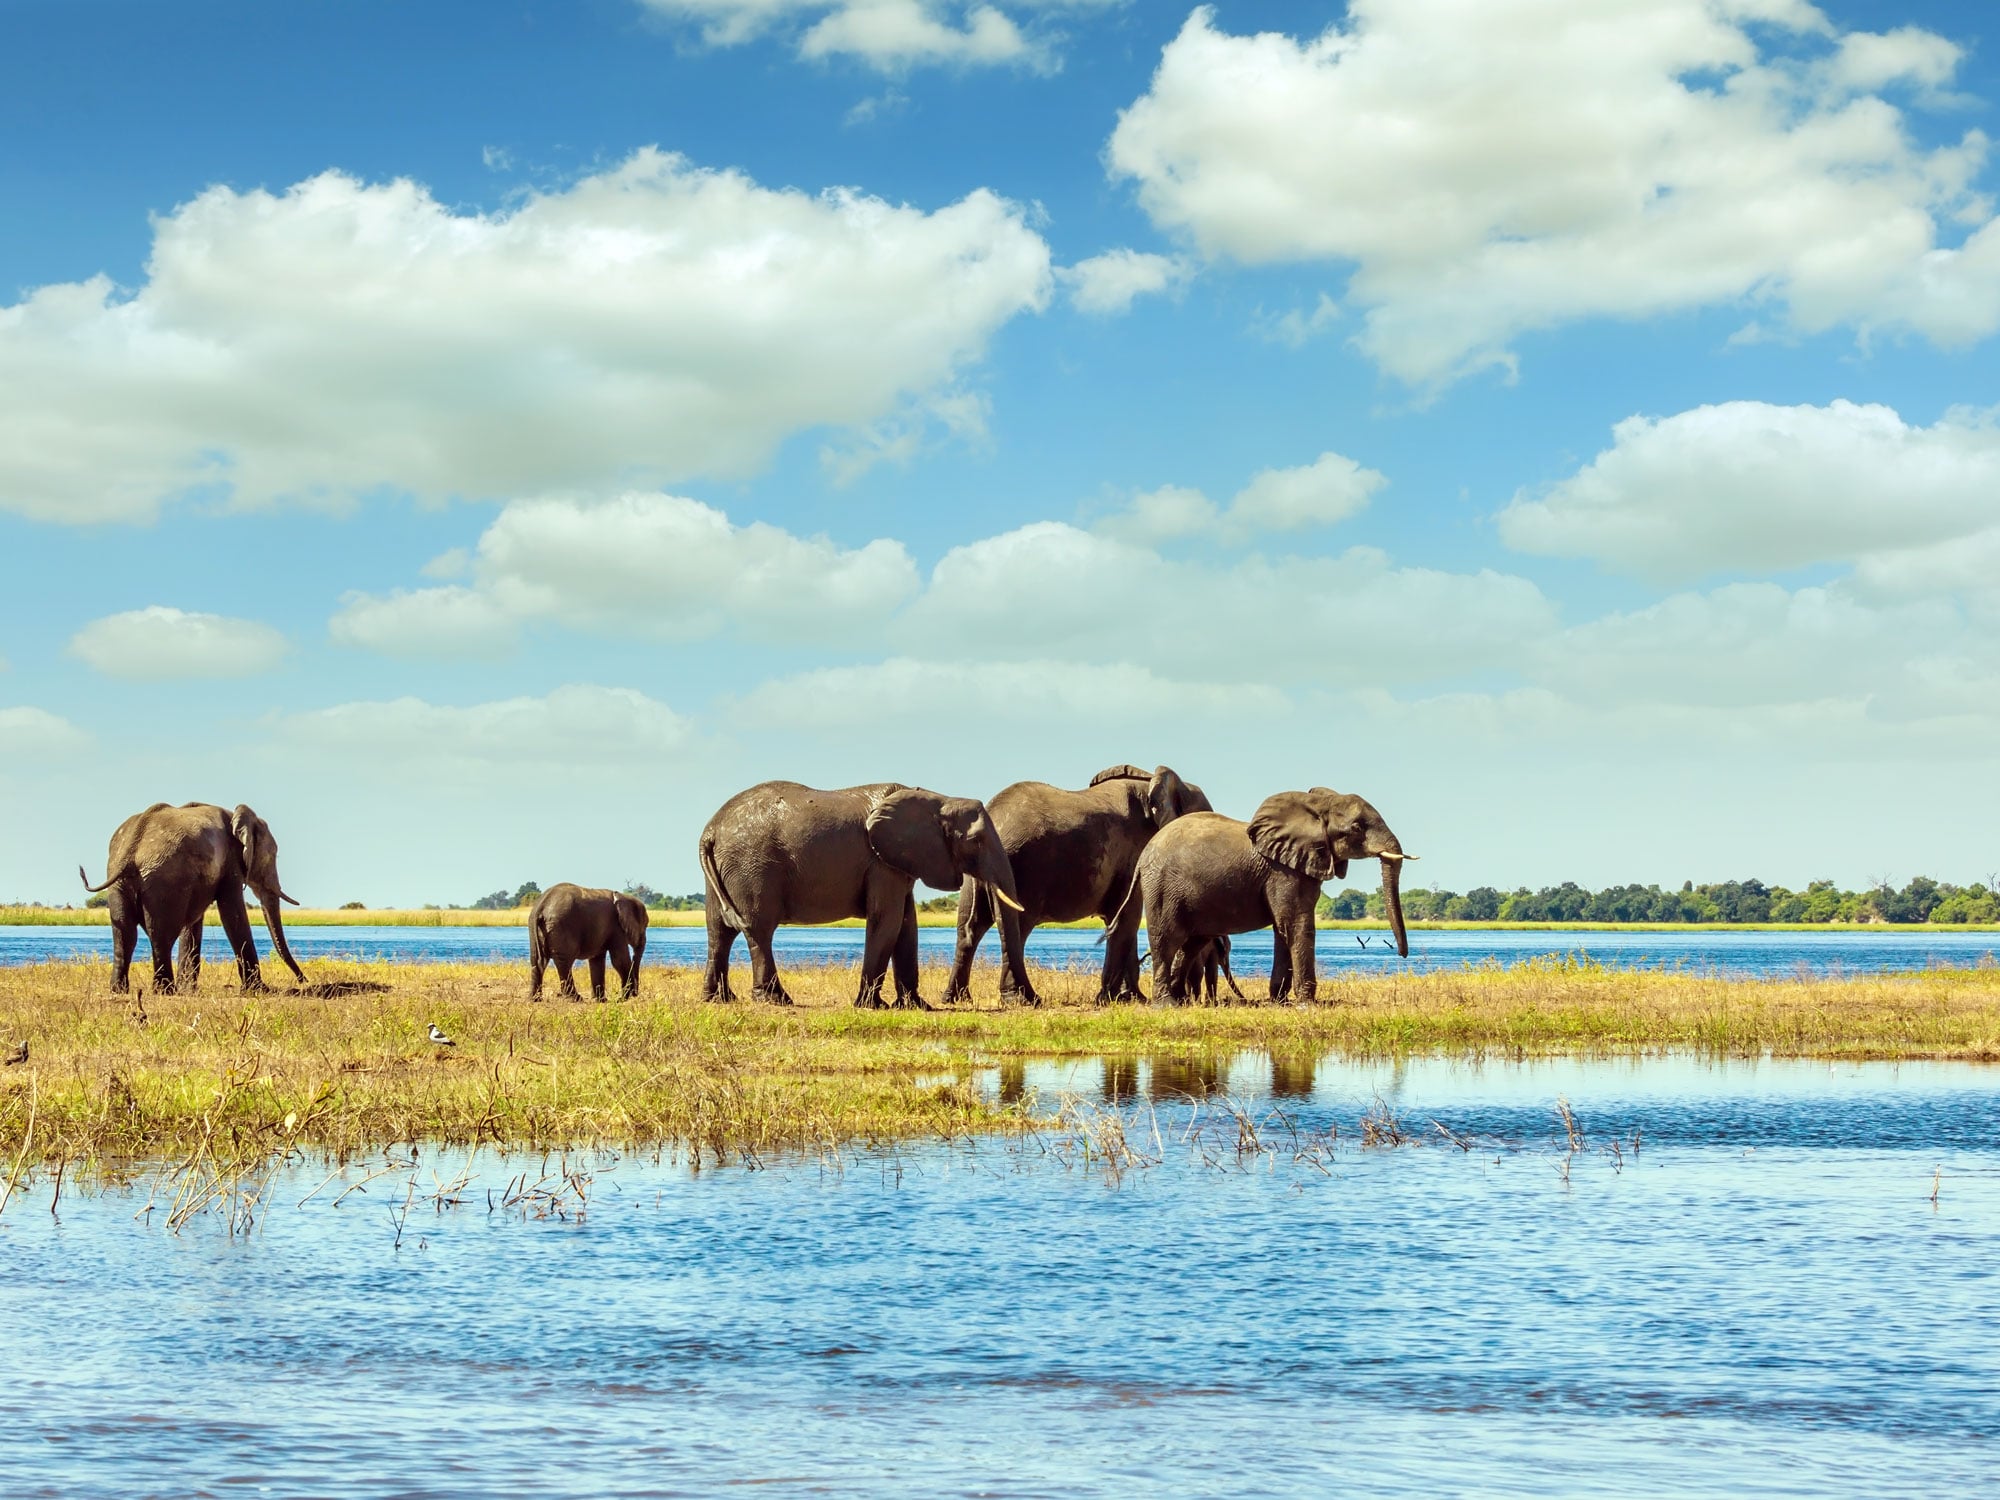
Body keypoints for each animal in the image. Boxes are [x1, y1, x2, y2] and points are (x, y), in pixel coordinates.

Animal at [79, 802, 306, 995]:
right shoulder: (230, 862)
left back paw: (120, 990)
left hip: (120, 884)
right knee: (161, 934)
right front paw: (259, 990)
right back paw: (165, 990)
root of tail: (131, 848)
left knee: (125, 934)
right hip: (164, 880)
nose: (303, 980)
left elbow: (193, 924)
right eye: (273, 855)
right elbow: (232, 913)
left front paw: (189, 989)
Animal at [699, 781, 1022, 1009]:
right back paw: (776, 1000)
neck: (939, 799)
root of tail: (710, 831)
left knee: (719, 931)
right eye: (976, 841)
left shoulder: (897, 862)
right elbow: (888, 921)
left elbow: (907, 925)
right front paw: (873, 1006)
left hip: (727, 870)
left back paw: (719, 999)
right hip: (753, 867)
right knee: (758, 930)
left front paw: (917, 1006)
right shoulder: (880, 862)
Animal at [942, 764, 1210, 1007]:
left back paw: (957, 998)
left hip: (976, 871)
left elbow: (1122, 918)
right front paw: (1114, 999)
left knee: (969, 928)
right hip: (1025, 865)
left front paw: (1129, 998)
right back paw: (1024, 1000)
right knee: (1016, 927)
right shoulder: (1135, 853)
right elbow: (1127, 918)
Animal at [1107, 788, 1412, 1004]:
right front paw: (1307, 1003)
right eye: (1357, 828)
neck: (1316, 806)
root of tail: (1144, 855)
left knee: (1192, 943)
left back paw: (1181, 1001)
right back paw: (1166, 1004)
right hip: (1161, 887)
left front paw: (1280, 1001)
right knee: (1166, 940)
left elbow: (1283, 928)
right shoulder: (1284, 871)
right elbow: (1296, 925)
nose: (1402, 954)